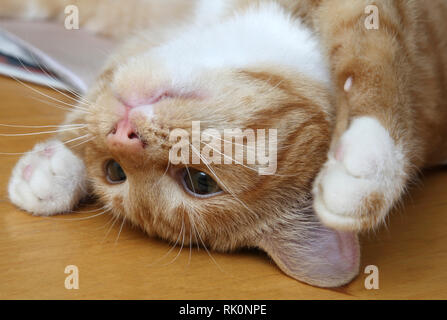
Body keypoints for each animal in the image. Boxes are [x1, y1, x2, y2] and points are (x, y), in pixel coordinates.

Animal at [3, 0, 447, 288]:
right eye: (115, 172)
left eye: (199, 181)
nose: (122, 134)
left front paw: (370, 162)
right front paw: (53, 168)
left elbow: (376, 55)